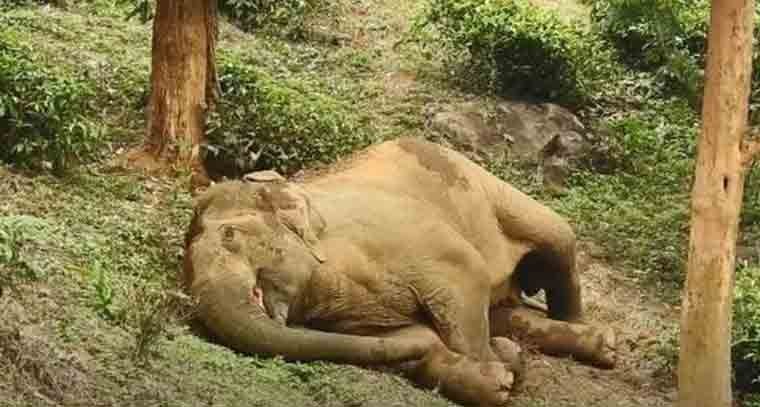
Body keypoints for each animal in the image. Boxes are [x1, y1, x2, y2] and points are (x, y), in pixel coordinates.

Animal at [183, 137, 616, 406]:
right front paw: (498, 375)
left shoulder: (409, 239)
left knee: (558, 242)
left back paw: (593, 336)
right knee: (506, 313)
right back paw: (596, 343)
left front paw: (503, 369)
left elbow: (466, 279)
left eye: (230, 235)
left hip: (490, 186)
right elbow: (409, 337)